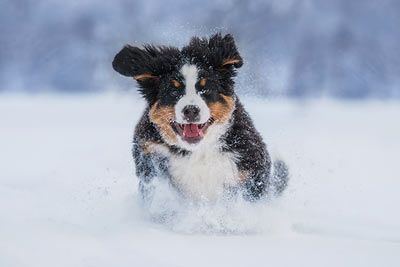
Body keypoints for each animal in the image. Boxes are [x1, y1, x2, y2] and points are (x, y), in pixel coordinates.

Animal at [111, 32, 288, 202]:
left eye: (206, 89)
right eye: (173, 91)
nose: (190, 110)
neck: (197, 151)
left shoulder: (250, 169)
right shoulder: (149, 154)